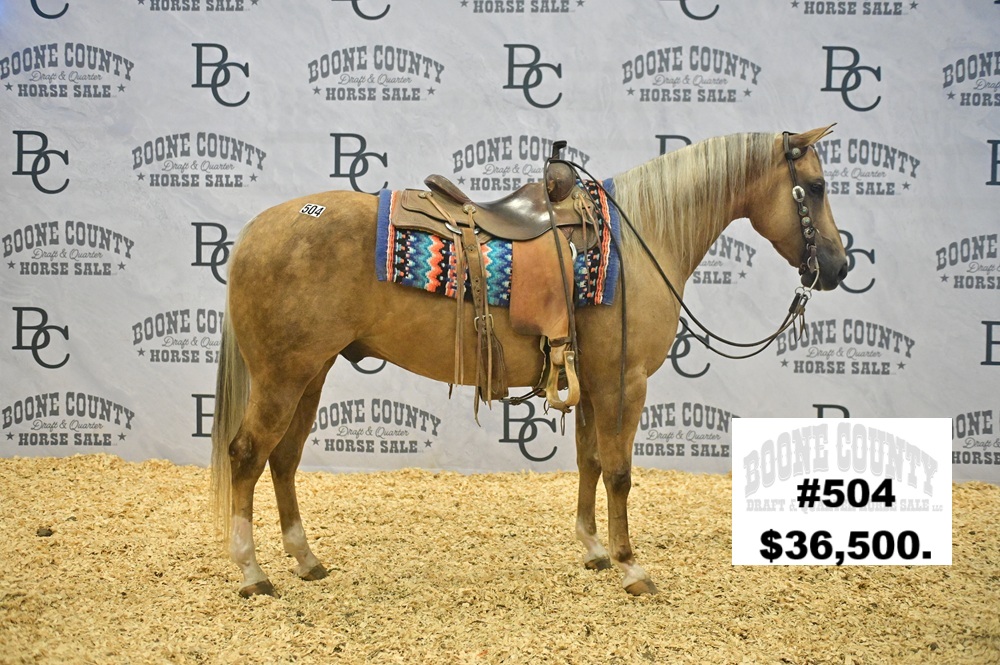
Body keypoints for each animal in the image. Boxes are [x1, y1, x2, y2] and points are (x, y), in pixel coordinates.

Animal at [210, 126, 849, 597]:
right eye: (816, 187)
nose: (839, 267)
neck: (641, 242)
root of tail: (257, 231)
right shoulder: (625, 382)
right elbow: (620, 472)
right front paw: (631, 567)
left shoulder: (593, 380)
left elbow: (590, 461)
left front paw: (594, 549)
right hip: (282, 376)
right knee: (247, 454)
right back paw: (252, 571)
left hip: (310, 371)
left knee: (283, 459)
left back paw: (305, 559)